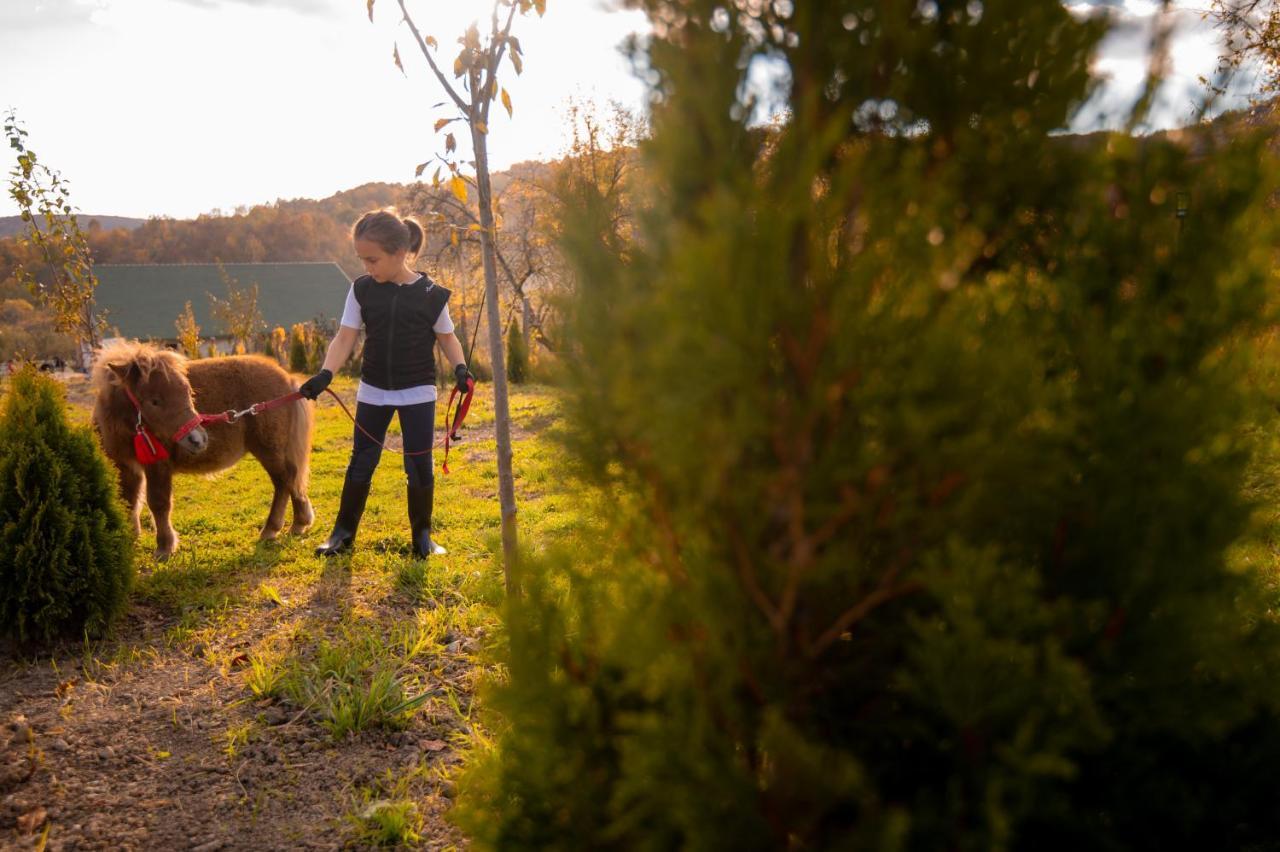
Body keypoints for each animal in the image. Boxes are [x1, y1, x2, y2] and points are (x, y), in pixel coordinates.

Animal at [90, 340, 314, 557]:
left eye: (188, 392)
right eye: (154, 401)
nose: (198, 439)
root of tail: (288, 378)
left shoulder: (157, 464)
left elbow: (158, 502)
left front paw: (164, 547)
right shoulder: (125, 465)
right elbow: (128, 499)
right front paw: (130, 538)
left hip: (269, 449)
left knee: (284, 480)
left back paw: (271, 529)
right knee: (293, 477)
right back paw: (299, 523)